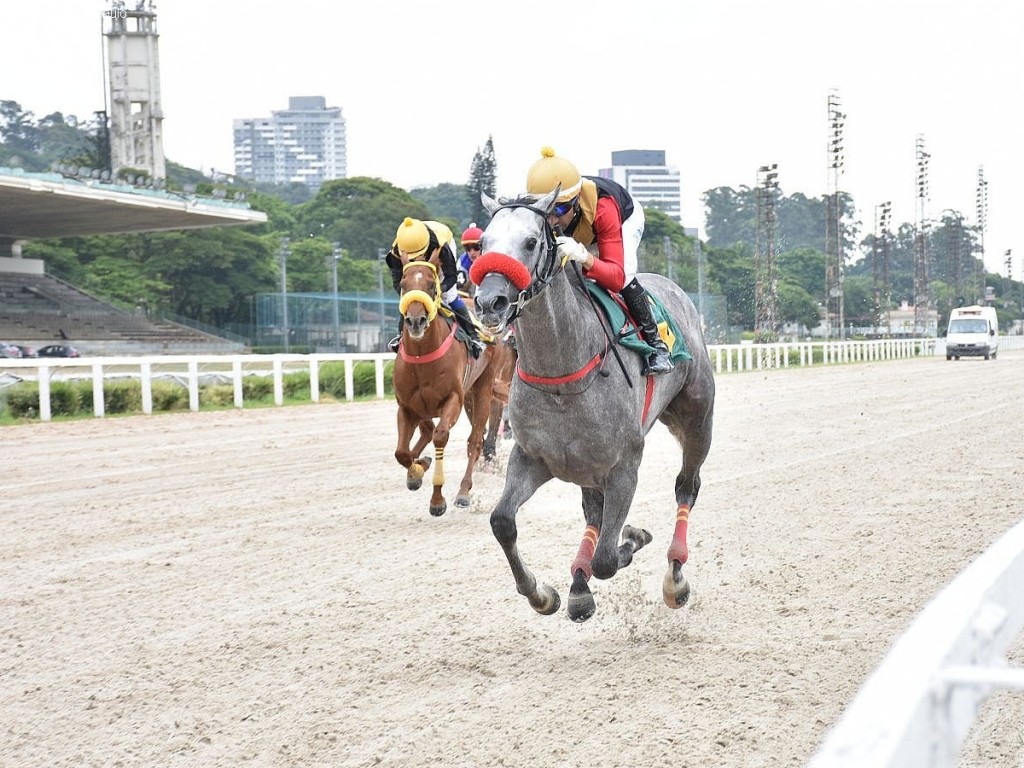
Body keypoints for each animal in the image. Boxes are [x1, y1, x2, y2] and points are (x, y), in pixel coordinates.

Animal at [391, 253, 512, 518]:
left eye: (430, 284)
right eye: (403, 284)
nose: (415, 321)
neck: (421, 357)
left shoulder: (453, 400)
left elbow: (440, 436)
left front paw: (437, 501)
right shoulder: (406, 406)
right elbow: (402, 452)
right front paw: (416, 472)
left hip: (483, 386)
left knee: (475, 441)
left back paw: (464, 491)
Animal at [468, 188, 716, 626]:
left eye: (530, 242)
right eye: (483, 244)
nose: (489, 302)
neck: (562, 375)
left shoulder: (624, 466)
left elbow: (606, 559)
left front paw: (630, 538)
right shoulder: (533, 457)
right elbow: (502, 522)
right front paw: (541, 594)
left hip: (696, 420)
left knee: (686, 487)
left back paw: (674, 578)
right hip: (585, 464)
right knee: (593, 512)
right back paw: (578, 588)